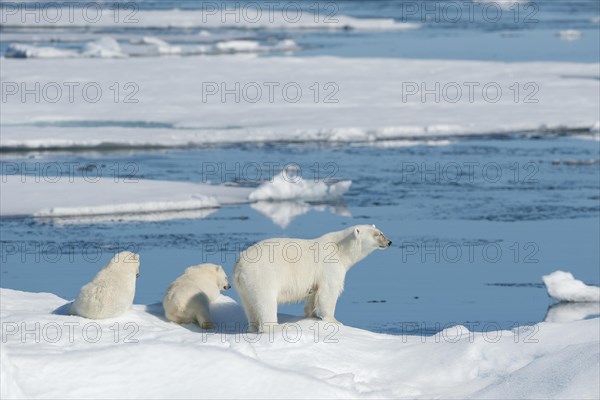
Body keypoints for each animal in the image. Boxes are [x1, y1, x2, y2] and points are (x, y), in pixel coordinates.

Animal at [232, 225, 392, 332]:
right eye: (377, 234)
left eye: (381, 232)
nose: (389, 242)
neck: (340, 249)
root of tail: (240, 264)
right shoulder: (329, 266)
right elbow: (329, 292)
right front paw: (335, 321)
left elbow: (314, 294)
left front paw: (312, 315)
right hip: (262, 276)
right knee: (266, 302)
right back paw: (275, 327)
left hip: (243, 286)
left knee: (249, 306)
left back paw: (253, 327)